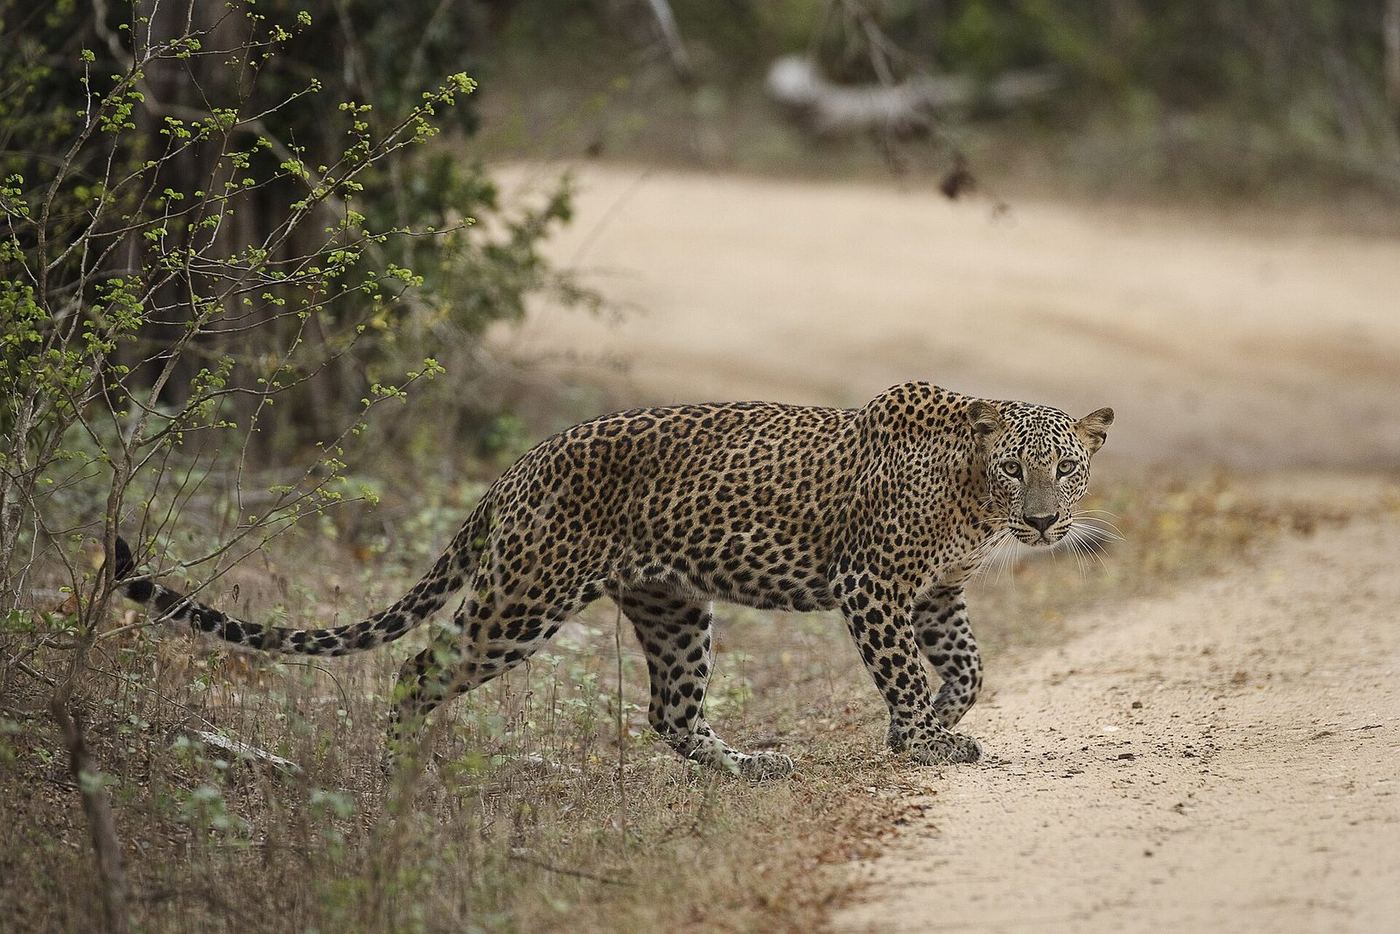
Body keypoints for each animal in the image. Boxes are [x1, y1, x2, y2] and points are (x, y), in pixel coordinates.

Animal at [113, 381, 1113, 781]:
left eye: (1065, 468)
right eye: (1015, 466)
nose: (1042, 523)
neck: (971, 499)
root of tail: (521, 464)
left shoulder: (936, 594)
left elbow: (970, 666)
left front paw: (940, 723)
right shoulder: (874, 584)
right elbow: (905, 670)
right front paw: (921, 738)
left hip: (672, 606)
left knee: (671, 714)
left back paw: (750, 766)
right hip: (526, 597)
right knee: (420, 667)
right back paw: (398, 770)